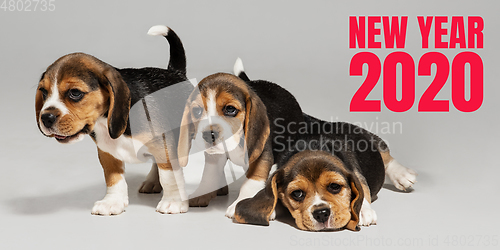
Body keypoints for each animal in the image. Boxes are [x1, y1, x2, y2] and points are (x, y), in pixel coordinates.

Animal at [34, 25, 193, 217]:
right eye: (43, 92)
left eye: (75, 93)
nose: (46, 118)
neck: (104, 121)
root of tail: (174, 71)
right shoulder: (107, 153)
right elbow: (113, 178)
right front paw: (112, 202)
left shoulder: (165, 147)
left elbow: (169, 175)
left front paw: (173, 201)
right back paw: (152, 182)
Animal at [176, 58, 304, 217]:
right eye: (197, 111)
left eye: (230, 109)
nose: (208, 135)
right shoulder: (215, 155)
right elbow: (208, 175)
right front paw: (201, 193)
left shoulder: (262, 156)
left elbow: (251, 181)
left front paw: (243, 202)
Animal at [234, 114, 418, 231]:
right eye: (297, 194)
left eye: (335, 187)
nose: (321, 214)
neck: (312, 147)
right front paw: (271, 207)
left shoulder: (355, 172)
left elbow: (363, 190)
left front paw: (362, 211)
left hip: (372, 140)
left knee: (386, 155)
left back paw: (402, 175)